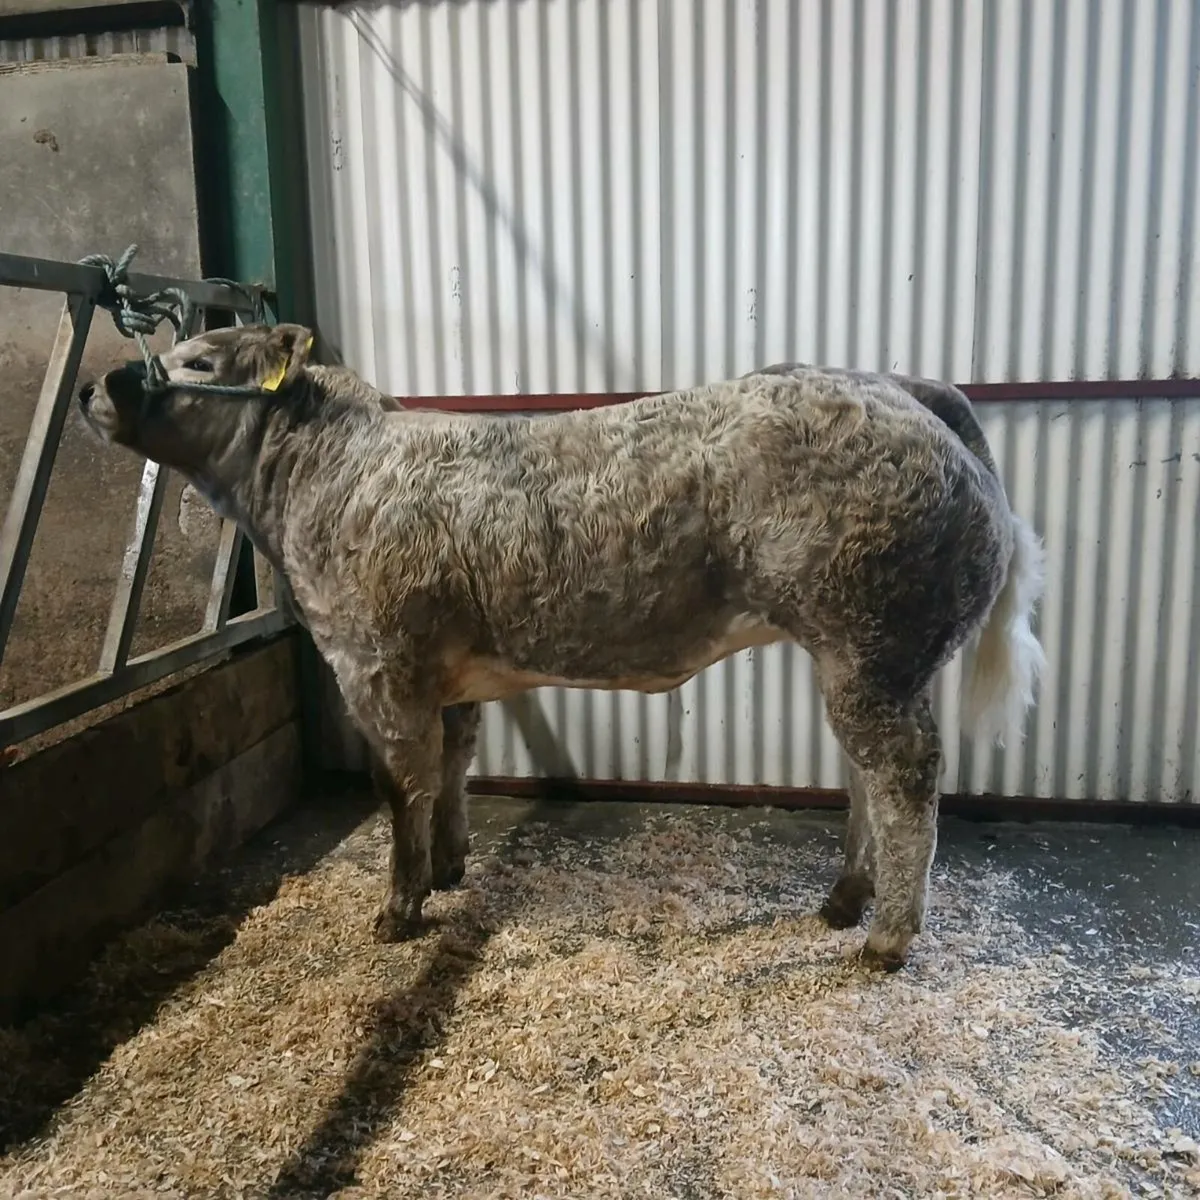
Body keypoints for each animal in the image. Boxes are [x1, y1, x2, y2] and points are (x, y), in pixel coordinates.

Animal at [78, 324, 1045, 971]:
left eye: (200, 362)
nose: (98, 387)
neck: (328, 478)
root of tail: (902, 388)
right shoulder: (445, 671)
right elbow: (456, 762)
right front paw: (450, 866)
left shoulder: (375, 660)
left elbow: (400, 786)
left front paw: (400, 907)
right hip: (862, 653)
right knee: (864, 777)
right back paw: (844, 902)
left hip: (872, 643)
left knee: (904, 778)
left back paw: (886, 938)